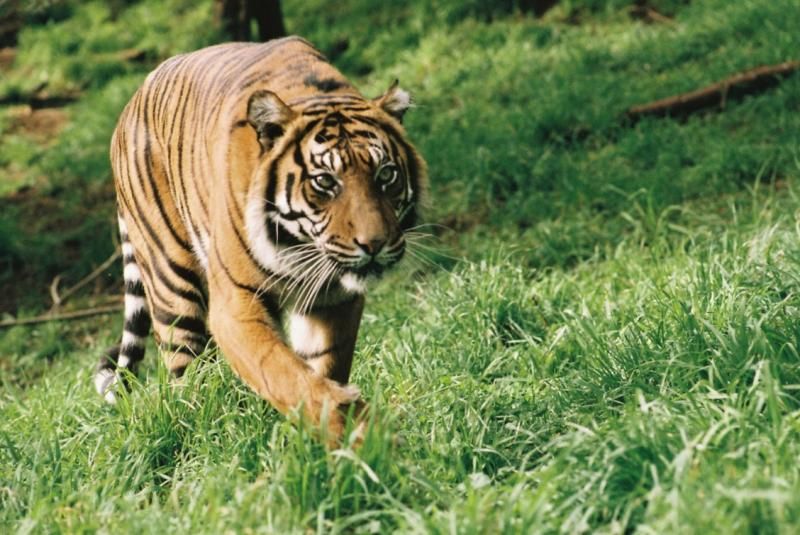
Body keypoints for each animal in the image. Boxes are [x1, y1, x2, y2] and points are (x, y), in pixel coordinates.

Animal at [94, 36, 427, 443]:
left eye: (386, 175)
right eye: (325, 181)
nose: (374, 244)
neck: (299, 248)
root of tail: (128, 107)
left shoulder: (333, 299)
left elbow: (324, 364)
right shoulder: (235, 304)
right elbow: (281, 371)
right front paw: (357, 433)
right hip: (172, 287)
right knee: (187, 375)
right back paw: (205, 432)